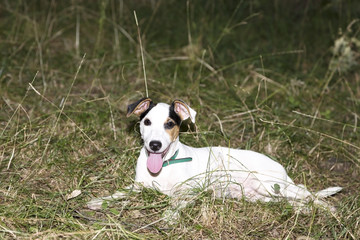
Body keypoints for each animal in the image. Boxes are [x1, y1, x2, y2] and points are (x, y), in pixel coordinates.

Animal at [88, 98, 342, 215]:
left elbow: (176, 202)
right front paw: (100, 200)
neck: (166, 166)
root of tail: (281, 169)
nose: (155, 144)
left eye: (170, 124)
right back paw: (304, 210)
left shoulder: (190, 191)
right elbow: (118, 193)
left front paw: (170, 216)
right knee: (293, 202)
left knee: (308, 194)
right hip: (261, 196)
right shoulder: (138, 186)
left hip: (271, 184)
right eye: (147, 122)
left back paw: (329, 210)